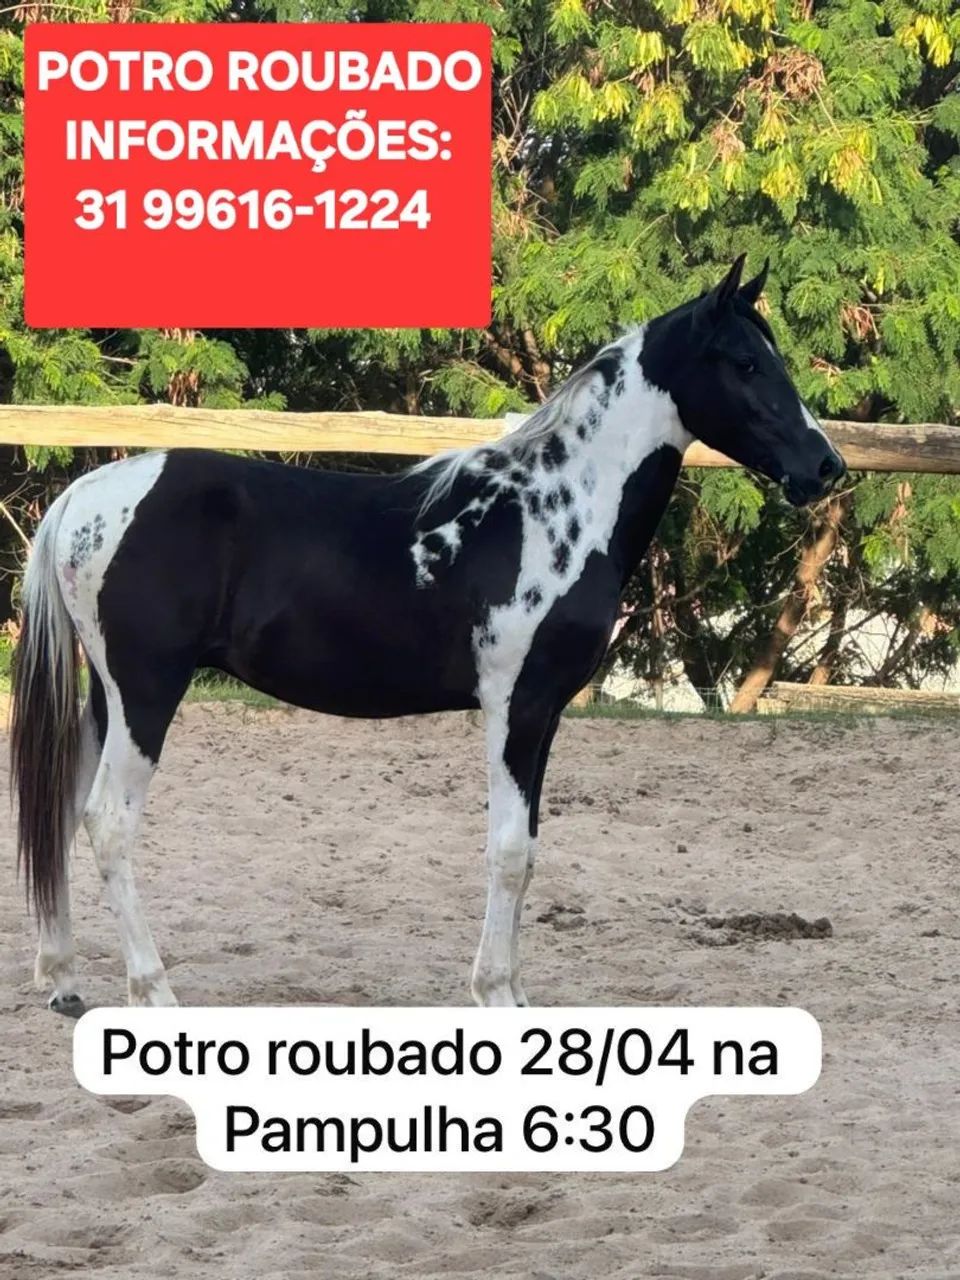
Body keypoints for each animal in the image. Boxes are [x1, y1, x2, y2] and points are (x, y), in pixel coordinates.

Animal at [10, 255, 845, 1013]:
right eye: (744, 362)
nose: (825, 466)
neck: (556, 508)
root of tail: (83, 498)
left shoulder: (544, 714)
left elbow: (529, 850)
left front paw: (512, 991)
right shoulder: (516, 706)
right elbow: (508, 852)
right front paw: (497, 996)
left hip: (107, 696)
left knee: (64, 809)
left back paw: (65, 982)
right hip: (147, 694)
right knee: (108, 822)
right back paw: (152, 992)